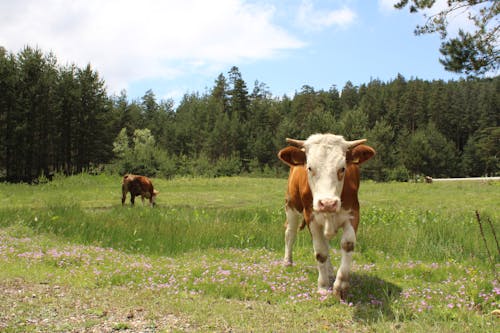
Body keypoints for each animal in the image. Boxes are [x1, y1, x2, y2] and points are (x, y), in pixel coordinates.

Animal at [278, 133, 376, 298]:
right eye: (310, 167)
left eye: (342, 168)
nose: (328, 203)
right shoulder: (311, 217)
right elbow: (321, 252)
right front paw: (323, 286)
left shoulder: (353, 213)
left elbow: (347, 244)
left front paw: (341, 286)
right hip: (290, 204)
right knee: (290, 233)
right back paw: (288, 262)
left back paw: (330, 271)